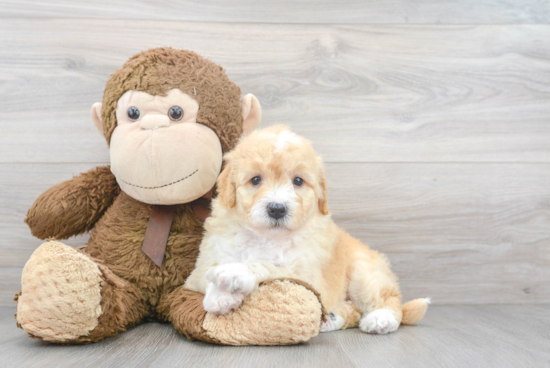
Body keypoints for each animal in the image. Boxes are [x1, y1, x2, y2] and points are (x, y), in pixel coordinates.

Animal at [187, 124, 432, 334]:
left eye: (298, 181)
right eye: (255, 180)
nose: (277, 209)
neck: (266, 238)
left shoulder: (307, 276)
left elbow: (270, 266)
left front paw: (234, 274)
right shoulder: (200, 269)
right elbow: (205, 278)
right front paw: (221, 297)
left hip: (364, 272)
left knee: (389, 300)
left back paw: (381, 318)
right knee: (353, 311)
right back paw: (332, 319)